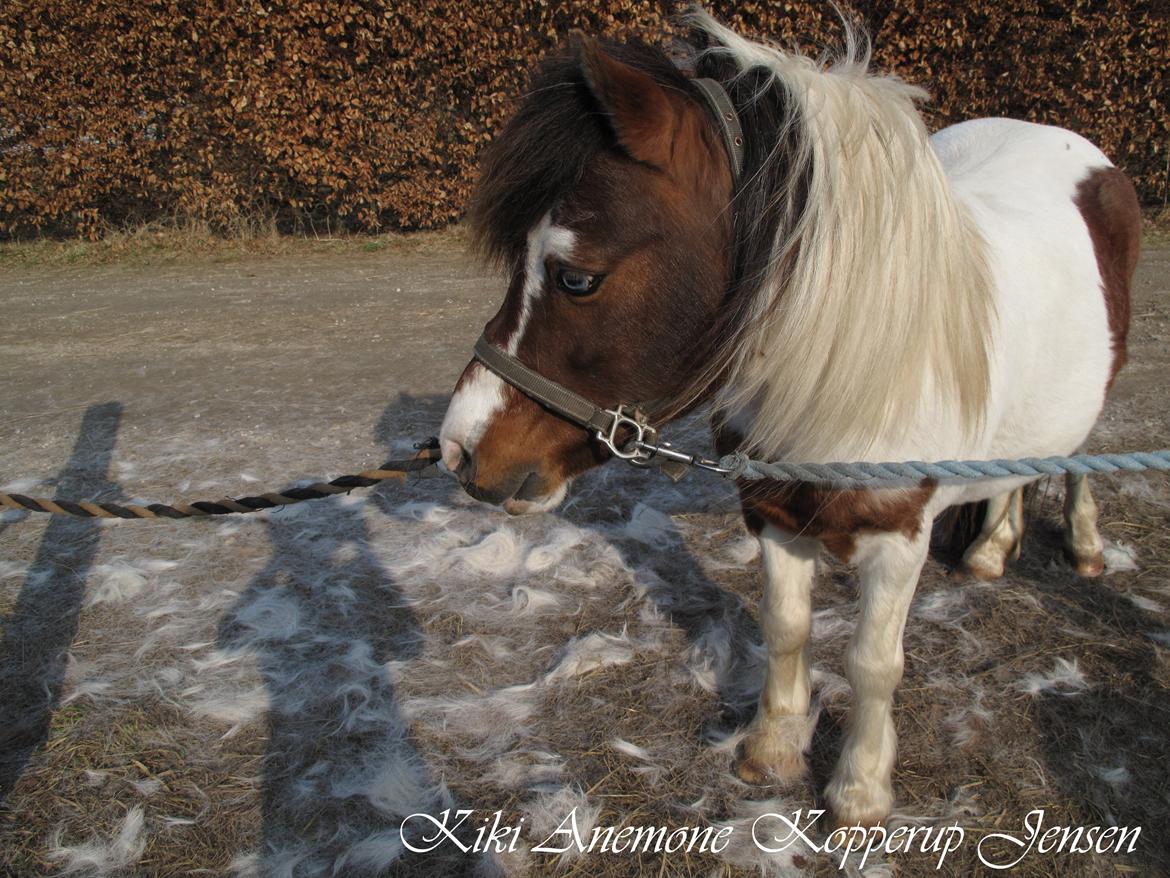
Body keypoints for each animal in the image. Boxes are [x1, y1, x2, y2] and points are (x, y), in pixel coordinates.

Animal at [435, 10, 1137, 828]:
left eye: (577, 277)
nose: (458, 449)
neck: (855, 361)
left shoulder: (900, 537)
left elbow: (872, 662)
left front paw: (859, 791)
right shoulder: (773, 514)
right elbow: (787, 629)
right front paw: (771, 750)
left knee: (1080, 454)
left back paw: (1084, 546)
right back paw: (994, 547)